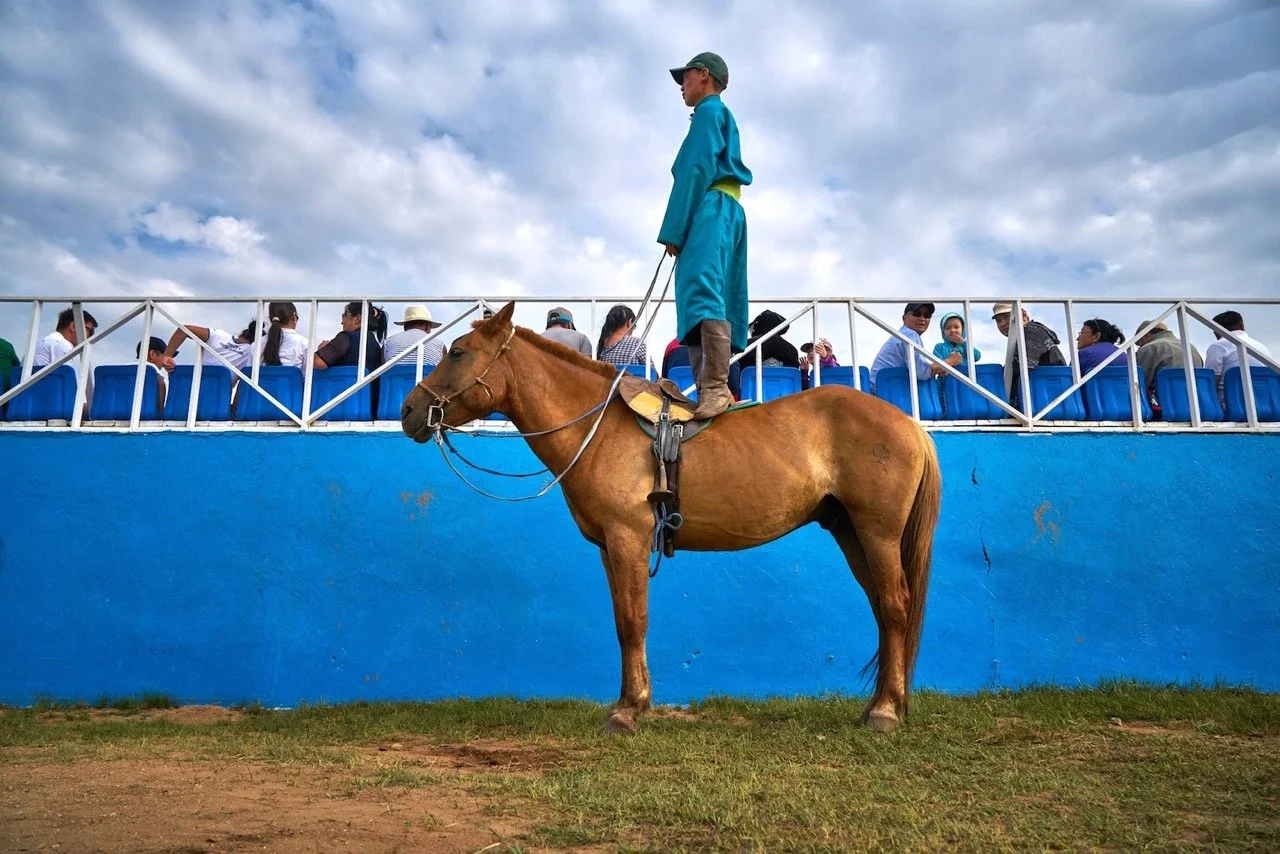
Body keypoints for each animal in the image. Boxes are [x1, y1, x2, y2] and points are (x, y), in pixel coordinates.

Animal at [401, 302, 941, 734]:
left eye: (458, 352)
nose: (409, 410)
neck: (599, 427)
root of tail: (908, 424)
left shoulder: (628, 539)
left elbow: (632, 620)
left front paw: (628, 711)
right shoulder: (610, 547)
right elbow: (623, 620)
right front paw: (631, 701)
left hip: (877, 532)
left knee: (895, 606)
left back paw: (886, 712)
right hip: (851, 532)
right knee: (883, 610)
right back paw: (881, 703)